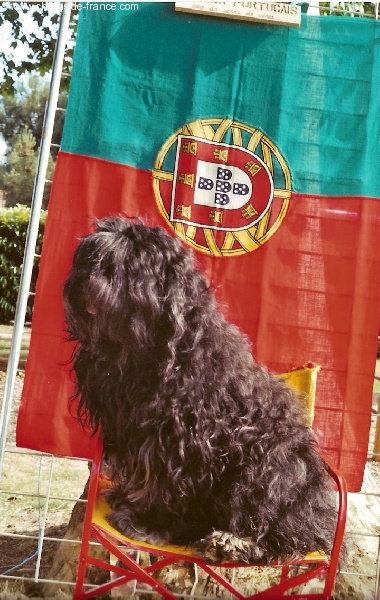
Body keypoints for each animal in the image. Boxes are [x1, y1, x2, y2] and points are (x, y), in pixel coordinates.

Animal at [63, 218, 336, 564]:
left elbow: (168, 485)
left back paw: (233, 542)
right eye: (88, 255)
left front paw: (148, 523)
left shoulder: (186, 442)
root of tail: (318, 518)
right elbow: (147, 474)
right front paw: (131, 499)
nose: (87, 267)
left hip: (272, 464)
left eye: (124, 264)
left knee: (281, 535)